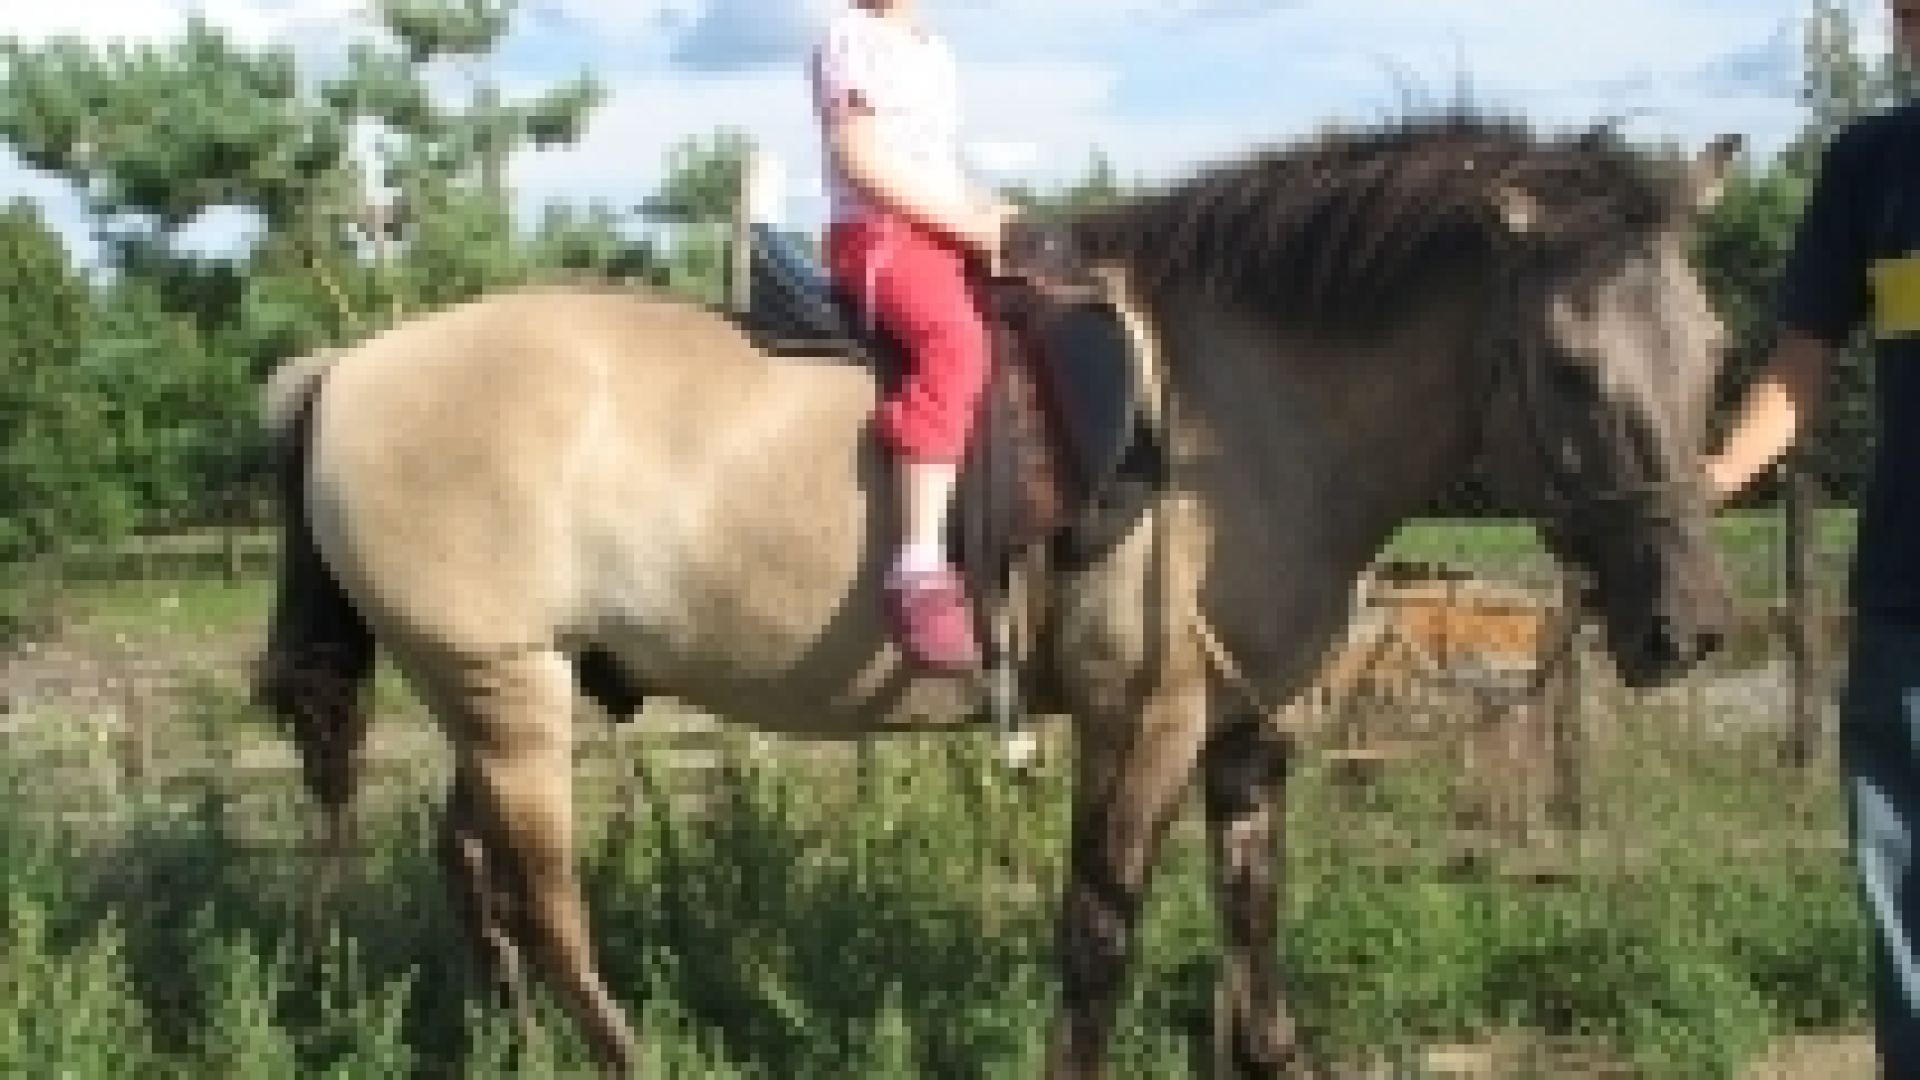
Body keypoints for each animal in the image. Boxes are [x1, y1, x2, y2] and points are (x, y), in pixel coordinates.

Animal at [251, 111, 1743, 1076]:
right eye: (1569, 366)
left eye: (1716, 344)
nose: (1689, 628)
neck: (1238, 408)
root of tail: (346, 367)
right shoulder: (1141, 720)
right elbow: (1098, 935)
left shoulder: (1247, 728)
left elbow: (1252, 927)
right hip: (510, 693)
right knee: (545, 902)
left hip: (497, 690)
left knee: (473, 877)